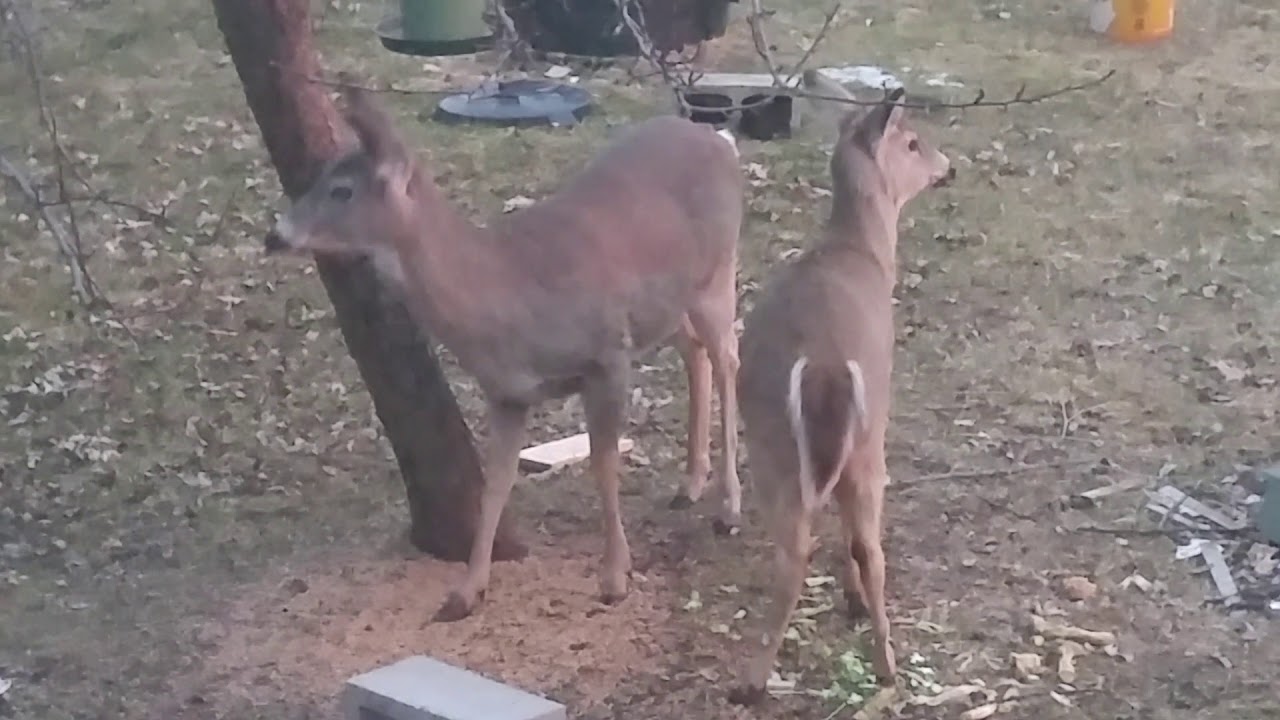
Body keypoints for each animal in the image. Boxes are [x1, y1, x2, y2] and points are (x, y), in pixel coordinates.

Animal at [261, 86, 745, 622]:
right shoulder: (508, 393)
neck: (505, 296)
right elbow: (495, 484)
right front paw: (467, 590)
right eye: (317, 177)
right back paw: (690, 484)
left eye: (342, 189)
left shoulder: (606, 356)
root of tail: (718, 139)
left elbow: (603, 465)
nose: (274, 235)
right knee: (695, 350)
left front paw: (615, 578)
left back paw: (729, 507)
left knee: (728, 357)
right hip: (671, 302)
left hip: (719, 267)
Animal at [727, 72, 954, 705]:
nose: (947, 166)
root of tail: (825, 365)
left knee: (805, 547)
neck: (862, 252)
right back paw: (880, 666)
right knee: (858, 547)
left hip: (782, 446)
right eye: (912, 141)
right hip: (854, 436)